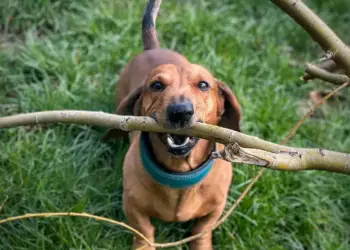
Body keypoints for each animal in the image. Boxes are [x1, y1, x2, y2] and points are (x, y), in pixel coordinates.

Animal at [104, 0, 241, 249]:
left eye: (203, 84)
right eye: (156, 85)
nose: (180, 112)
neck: (179, 175)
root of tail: (152, 49)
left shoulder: (217, 207)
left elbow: (201, 229)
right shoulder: (131, 204)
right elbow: (143, 229)